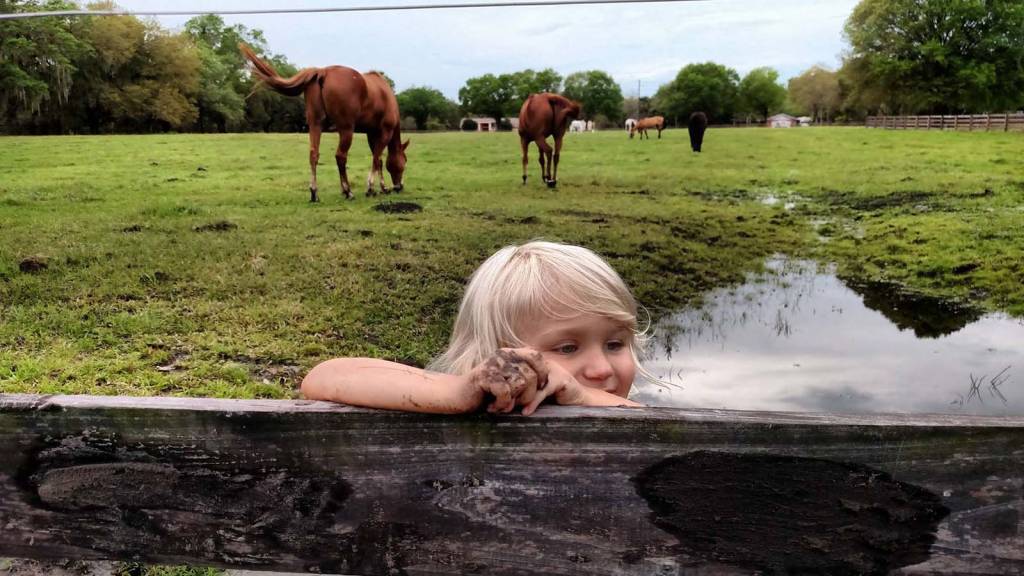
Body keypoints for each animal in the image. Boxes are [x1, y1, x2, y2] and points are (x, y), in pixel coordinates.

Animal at [240, 44, 409, 202]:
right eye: (405, 161)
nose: (399, 186)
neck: (385, 95)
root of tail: (322, 72)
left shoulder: (371, 133)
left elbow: (378, 159)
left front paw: (383, 187)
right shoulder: (385, 132)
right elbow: (376, 158)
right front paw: (371, 188)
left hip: (315, 125)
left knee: (313, 154)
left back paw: (314, 192)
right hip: (346, 129)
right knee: (340, 156)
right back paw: (348, 191)